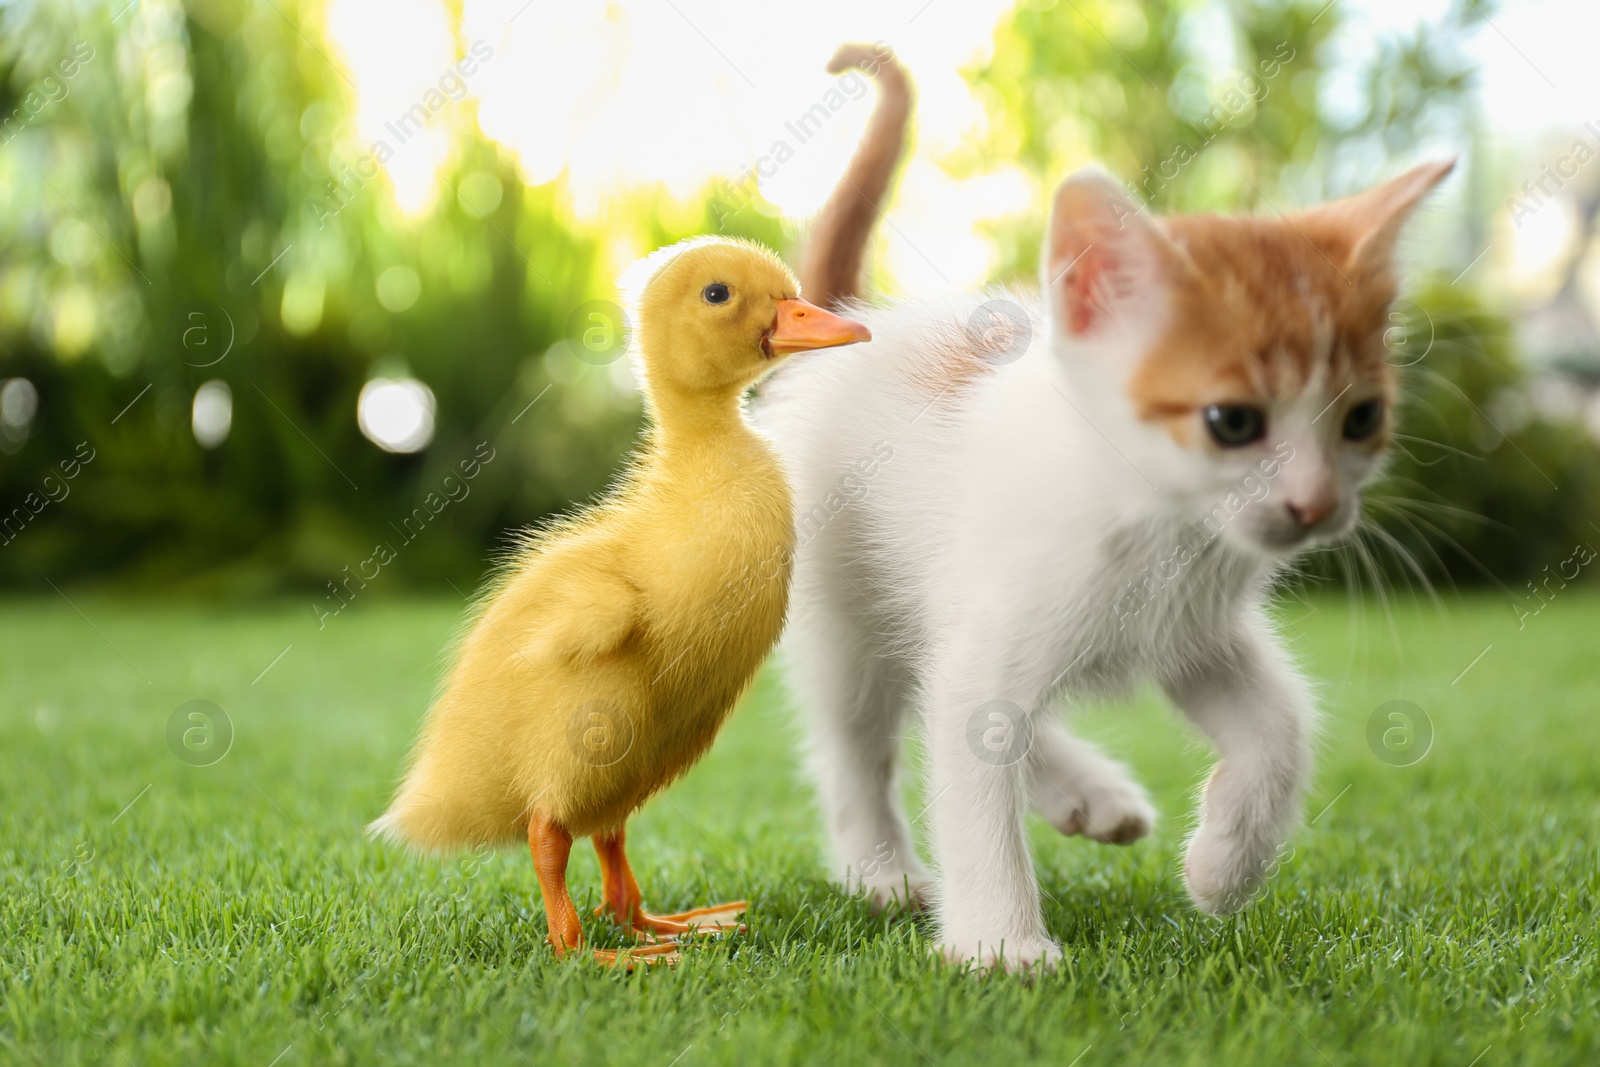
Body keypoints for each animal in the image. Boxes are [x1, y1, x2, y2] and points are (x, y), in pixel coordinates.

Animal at [758, 47, 1452, 966]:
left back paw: (1087, 793)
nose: (1316, 504)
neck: (1154, 521)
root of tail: (847, 324)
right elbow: (970, 778)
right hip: (841, 605)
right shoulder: (1001, 617)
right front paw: (1002, 945)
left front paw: (1224, 864)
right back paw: (881, 870)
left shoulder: (1194, 629)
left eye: (1363, 418)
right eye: (1233, 421)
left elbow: (1282, 721)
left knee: (939, 686)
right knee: (858, 734)